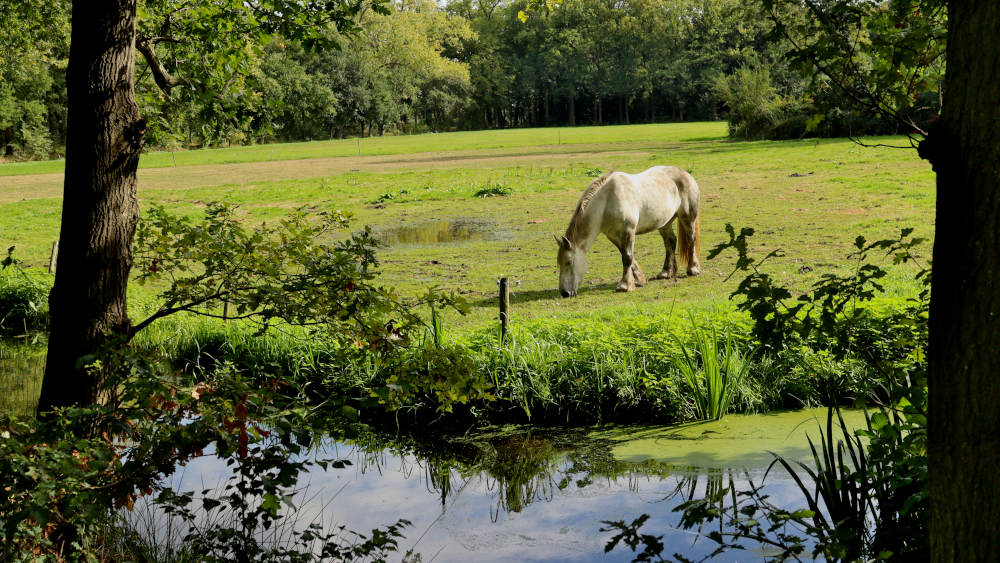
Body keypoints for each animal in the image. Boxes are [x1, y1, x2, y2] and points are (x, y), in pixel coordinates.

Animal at [556, 166, 704, 298]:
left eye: (569, 262)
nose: (564, 293)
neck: (607, 201)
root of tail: (686, 174)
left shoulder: (628, 231)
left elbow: (627, 257)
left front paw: (625, 286)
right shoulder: (613, 235)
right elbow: (626, 255)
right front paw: (638, 280)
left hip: (688, 217)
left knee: (691, 240)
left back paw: (693, 269)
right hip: (665, 223)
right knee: (670, 242)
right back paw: (666, 273)